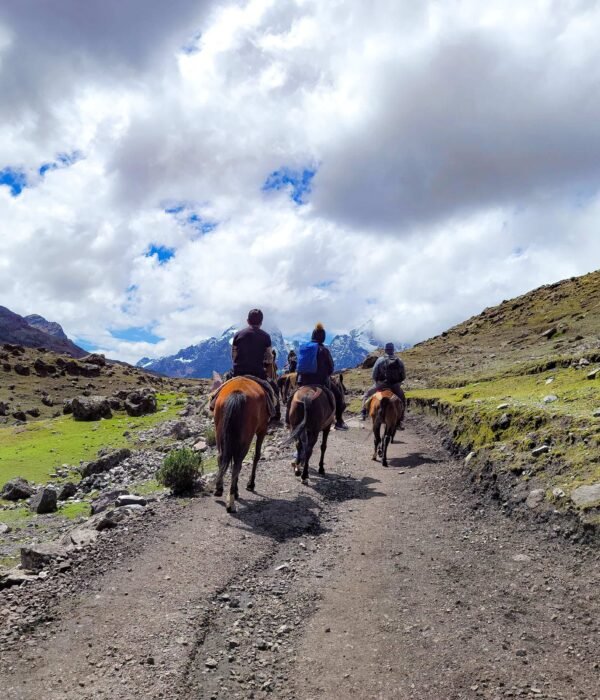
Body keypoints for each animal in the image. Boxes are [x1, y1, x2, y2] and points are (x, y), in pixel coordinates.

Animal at [211, 378, 268, 516]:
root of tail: (237, 393)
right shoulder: (262, 429)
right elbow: (256, 456)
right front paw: (250, 484)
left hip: (219, 433)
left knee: (221, 458)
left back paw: (219, 489)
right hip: (246, 438)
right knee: (238, 463)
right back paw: (231, 503)